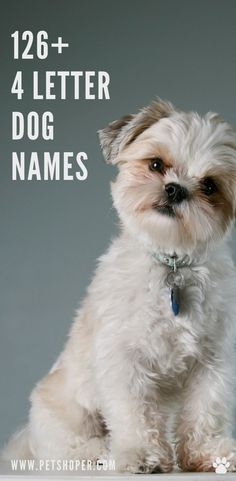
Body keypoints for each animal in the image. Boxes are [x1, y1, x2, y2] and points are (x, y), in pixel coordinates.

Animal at [2, 98, 236, 472]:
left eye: (210, 186)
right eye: (156, 164)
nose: (175, 189)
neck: (171, 262)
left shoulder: (212, 362)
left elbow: (205, 411)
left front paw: (209, 454)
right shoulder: (124, 359)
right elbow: (134, 413)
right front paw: (141, 454)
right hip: (67, 414)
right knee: (66, 450)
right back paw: (100, 453)